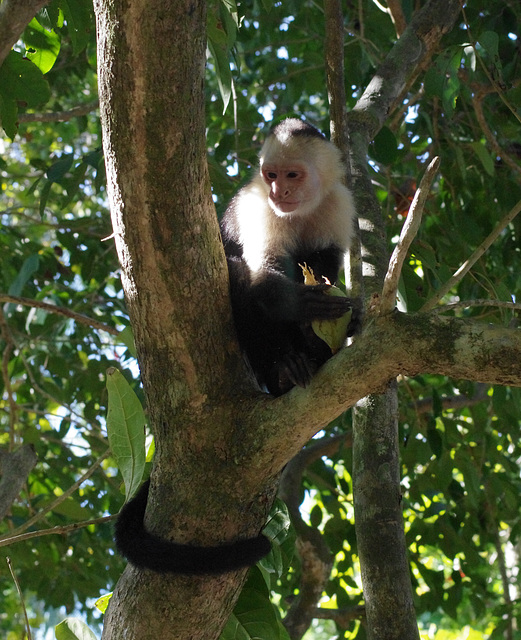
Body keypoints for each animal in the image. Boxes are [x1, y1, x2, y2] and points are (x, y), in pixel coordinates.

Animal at [114, 117, 358, 576]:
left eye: (292, 175)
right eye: (271, 175)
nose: (280, 192)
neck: (300, 211)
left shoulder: (339, 205)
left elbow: (327, 265)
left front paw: (338, 319)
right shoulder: (259, 208)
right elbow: (262, 278)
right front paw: (306, 306)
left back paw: (313, 353)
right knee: (238, 272)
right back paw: (283, 371)